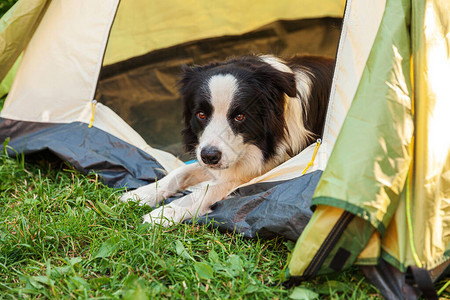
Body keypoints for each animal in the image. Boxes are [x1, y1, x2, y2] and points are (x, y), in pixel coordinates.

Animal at [120, 55, 334, 226]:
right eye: (201, 114)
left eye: (240, 116)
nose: (209, 156)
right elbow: (179, 173)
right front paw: (139, 194)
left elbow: (208, 189)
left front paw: (163, 214)